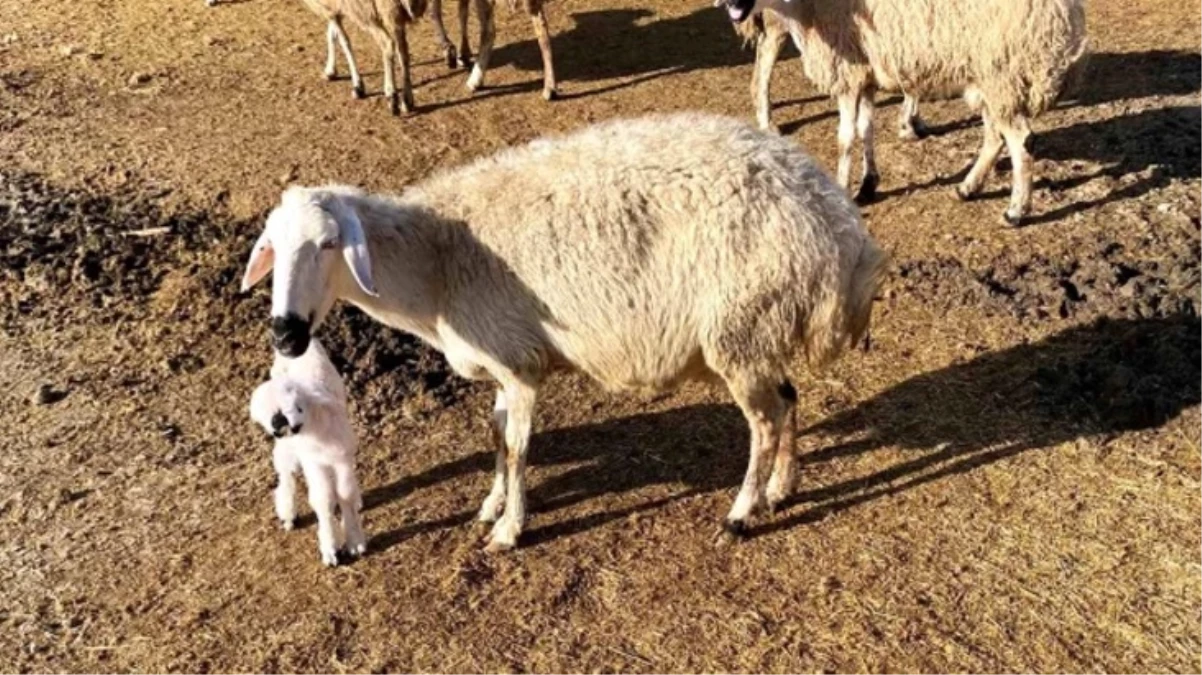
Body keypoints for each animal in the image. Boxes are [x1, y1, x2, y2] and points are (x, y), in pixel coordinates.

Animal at [250, 338, 363, 564]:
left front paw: (354, 542)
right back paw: (288, 514)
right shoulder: (313, 462)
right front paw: (331, 549)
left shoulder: (342, 457)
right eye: (269, 415)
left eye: (299, 407)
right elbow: (323, 498)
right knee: (286, 472)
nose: (279, 421)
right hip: (289, 450)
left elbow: (345, 493)